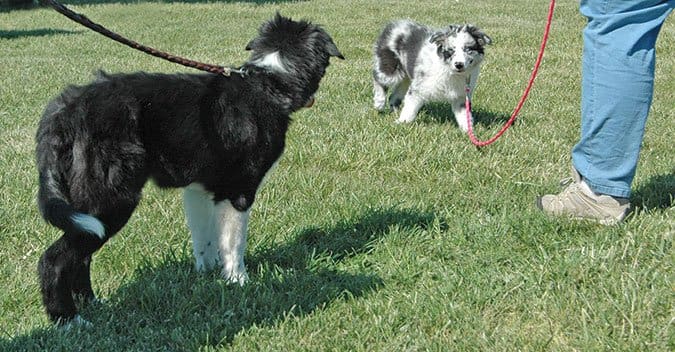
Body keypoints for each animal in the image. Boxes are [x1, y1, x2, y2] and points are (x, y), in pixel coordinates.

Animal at [35, 14, 344, 328]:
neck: (267, 83)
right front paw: (238, 282)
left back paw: (91, 303)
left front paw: (207, 275)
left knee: (81, 257)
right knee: (54, 259)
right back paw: (68, 320)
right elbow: (234, 243)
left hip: (85, 208)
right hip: (110, 201)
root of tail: (65, 110)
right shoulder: (239, 190)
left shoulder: (198, 190)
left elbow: (204, 238)